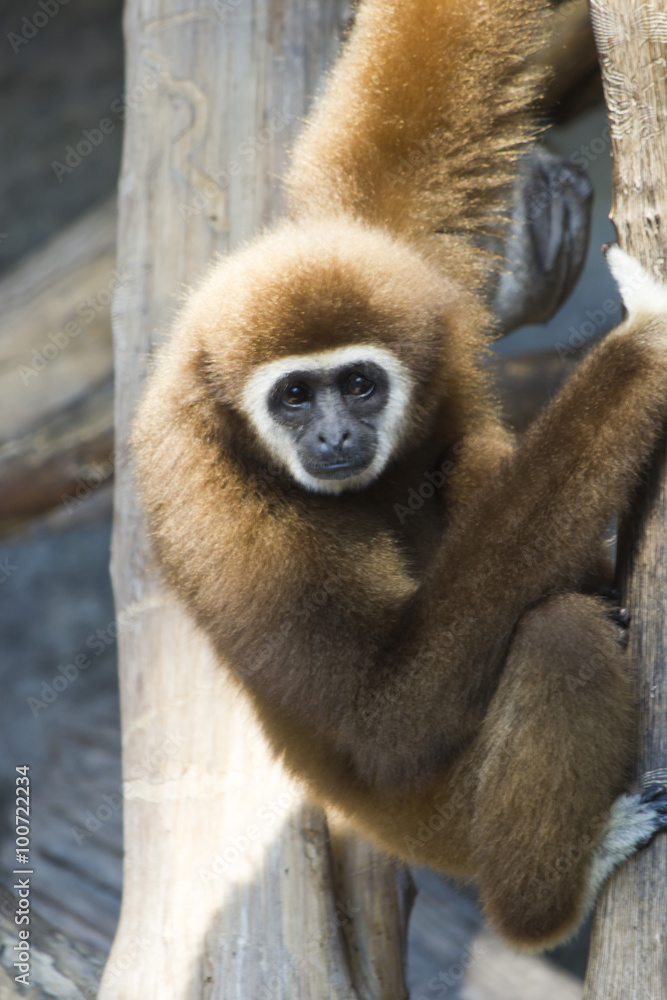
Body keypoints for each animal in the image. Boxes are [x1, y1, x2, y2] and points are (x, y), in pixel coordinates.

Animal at [132, 0, 667, 951]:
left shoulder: (400, 267)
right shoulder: (219, 508)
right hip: (441, 816)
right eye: (295, 396)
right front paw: (645, 341)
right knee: (558, 635)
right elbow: (384, 715)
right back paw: (549, 899)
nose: (335, 433)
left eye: (358, 384)